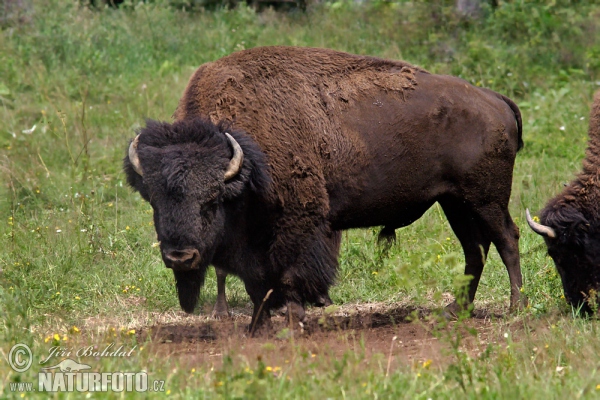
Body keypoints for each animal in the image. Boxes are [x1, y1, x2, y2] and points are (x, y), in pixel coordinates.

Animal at [124, 46, 524, 332]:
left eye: (211, 201)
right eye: (155, 202)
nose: (180, 257)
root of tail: (495, 99)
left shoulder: (299, 221)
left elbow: (287, 274)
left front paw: (293, 318)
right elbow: (257, 284)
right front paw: (257, 326)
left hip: (486, 199)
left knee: (506, 239)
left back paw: (516, 307)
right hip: (455, 202)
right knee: (476, 249)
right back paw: (455, 310)